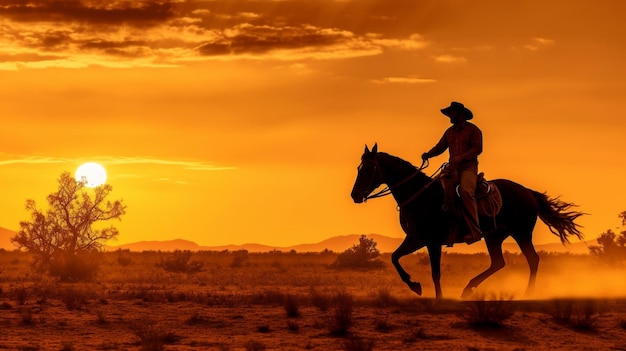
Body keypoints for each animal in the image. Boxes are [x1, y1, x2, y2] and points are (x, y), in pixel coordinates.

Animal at [348, 144, 584, 300]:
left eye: (368, 169)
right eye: (359, 168)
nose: (355, 195)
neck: (420, 195)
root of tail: (528, 192)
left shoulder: (430, 241)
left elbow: (434, 272)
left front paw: (436, 296)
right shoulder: (416, 238)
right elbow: (395, 258)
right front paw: (415, 286)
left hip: (521, 233)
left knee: (532, 259)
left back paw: (528, 293)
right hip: (494, 236)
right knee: (498, 262)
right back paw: (468, 288)